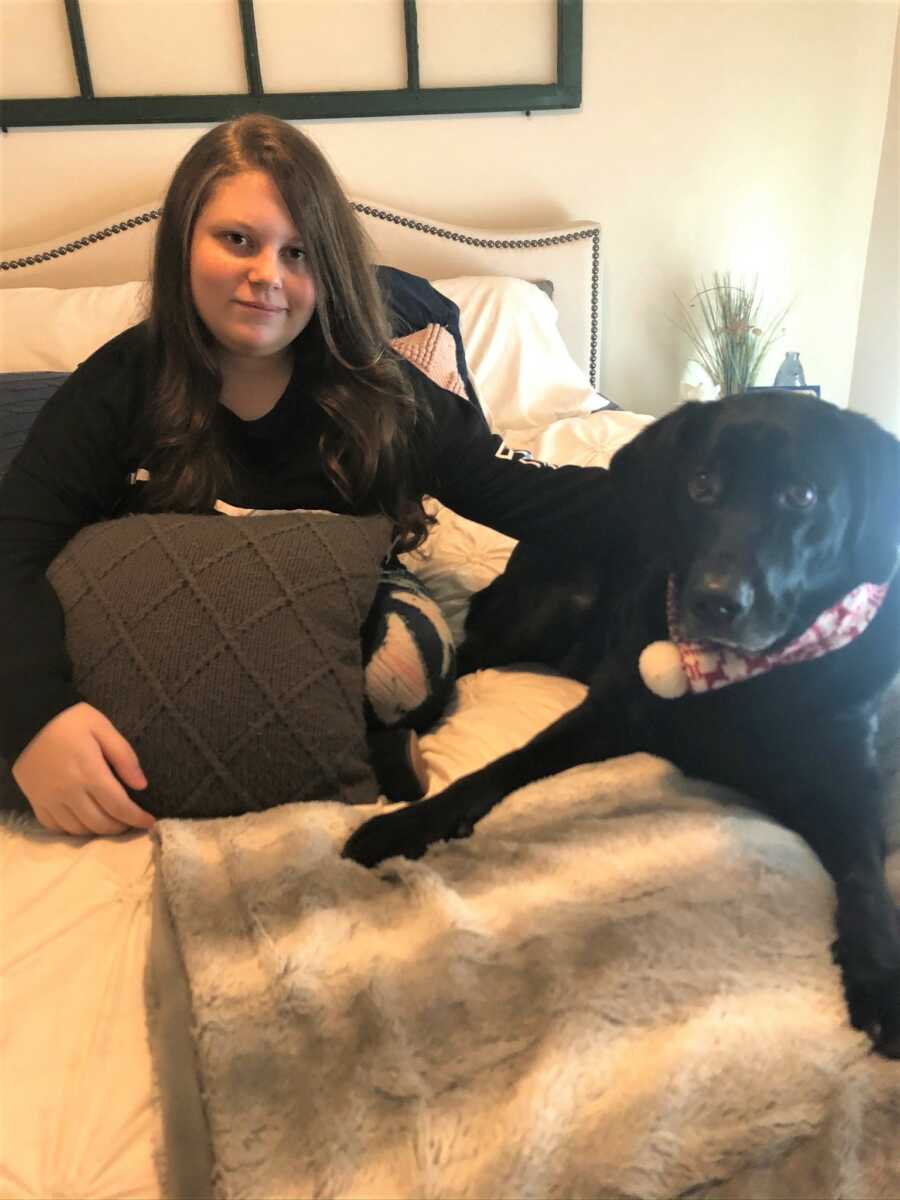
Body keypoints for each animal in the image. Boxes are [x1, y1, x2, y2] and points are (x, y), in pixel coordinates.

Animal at [345, 391, 900, 1051]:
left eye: (803, 495)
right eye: (701, 484)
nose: (714, 601)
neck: (737, 679)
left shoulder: (846, 782)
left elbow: (866, 874)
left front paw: (877, 970)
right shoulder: (605, 714)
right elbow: (497, 769)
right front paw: (407, 825)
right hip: (547, 609)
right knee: (460, 657)